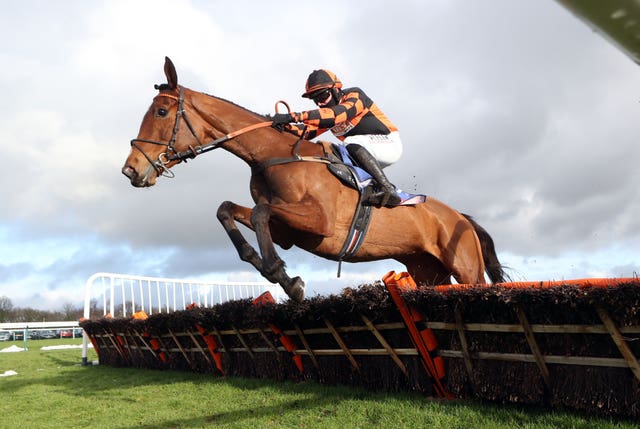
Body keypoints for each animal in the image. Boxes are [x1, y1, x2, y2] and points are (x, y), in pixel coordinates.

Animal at [121, 57, 504, 300]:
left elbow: (258, 214)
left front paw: (282, 276)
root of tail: (460, 218)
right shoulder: (288, 231)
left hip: (466, 267)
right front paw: (272, 270)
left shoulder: (319, 222)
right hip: (427, 271)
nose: (131, 170)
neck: (271, 156)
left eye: (161, 111)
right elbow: (228, 209)